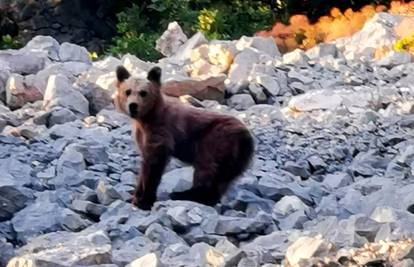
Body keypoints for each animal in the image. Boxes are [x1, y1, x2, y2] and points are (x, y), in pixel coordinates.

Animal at [115, 65, 254, 211]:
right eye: (127, 91)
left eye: (143, 92)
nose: (133, 106)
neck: (147, 118)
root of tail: (246, 136)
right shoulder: (143, 135)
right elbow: (146, 160)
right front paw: (137, 196)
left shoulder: (161, 130)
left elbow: (154, 162)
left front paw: (143, 200)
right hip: (235, 156)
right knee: (222, 178)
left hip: (217, 139)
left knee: (206, 168)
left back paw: (184, 194)